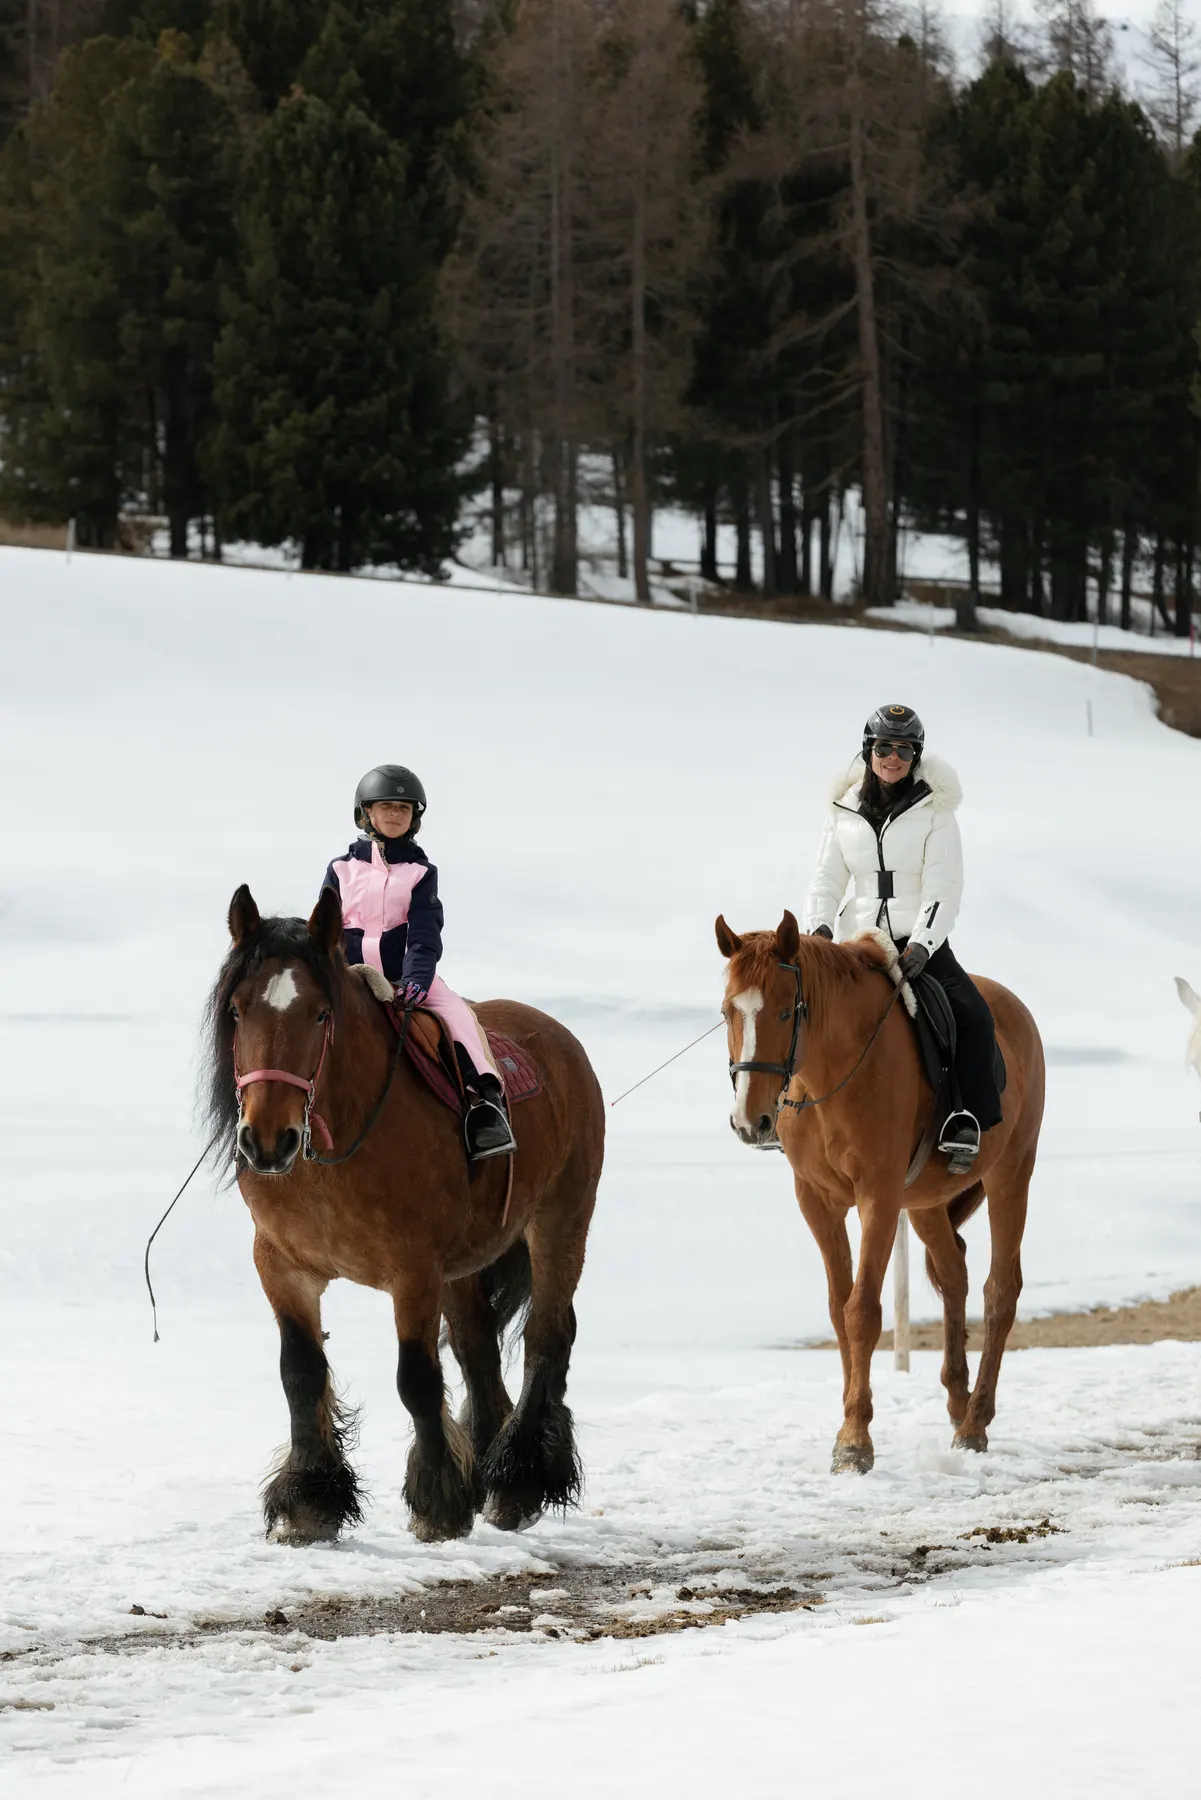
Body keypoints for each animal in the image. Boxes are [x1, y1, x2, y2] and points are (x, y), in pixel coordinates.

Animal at [202, 884, 604, 1544]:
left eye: (320, 1014)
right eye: (237, 1011)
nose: (267, 1140)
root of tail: (558, 1038)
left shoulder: (413, 1272)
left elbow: (415, 1378)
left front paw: (438, 1503)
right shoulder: (282, 1267)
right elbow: (300, 1372)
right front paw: (310, 1502)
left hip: (560, 1223)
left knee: (547, 1338)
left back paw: (517, 1480)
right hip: (466, 1264)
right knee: (477, 1348)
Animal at [715, 910, 1045, 1472]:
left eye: (784, 1012)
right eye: (727, 1011)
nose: (750, 1122)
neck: (833, 1071)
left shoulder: (879, 1197)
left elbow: (862, 1311)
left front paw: (854, 1442)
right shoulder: (817, 1202)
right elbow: (837, 1307)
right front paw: (850, 1423)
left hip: (1010, 1176)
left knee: (1000, 1291)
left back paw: (974, 1424)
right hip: (927, 1203)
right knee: (954, 1276)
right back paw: (957, 1403)